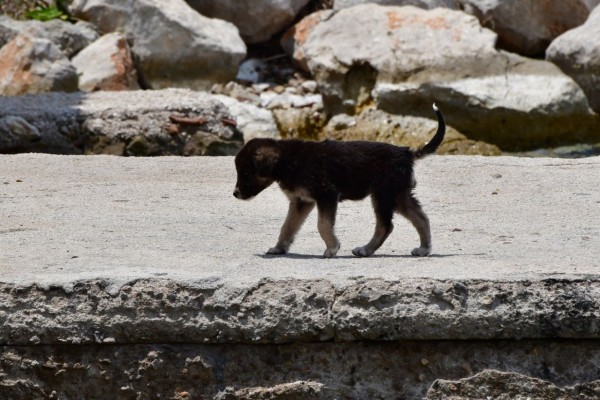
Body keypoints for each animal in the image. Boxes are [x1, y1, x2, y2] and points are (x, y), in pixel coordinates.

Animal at [234, 104, 446, 258]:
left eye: (245, 172)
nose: (235, 194)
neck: (288, 160)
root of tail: (407, 153)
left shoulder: (327, 194)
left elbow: (322, 224)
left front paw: (332, 248)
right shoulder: (301, 201)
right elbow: (287, 226)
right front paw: (279, 248)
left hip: (384, 194)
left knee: (386, 225)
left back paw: (366, 249)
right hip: (397, 194)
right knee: (421, 218)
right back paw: (423, 248)